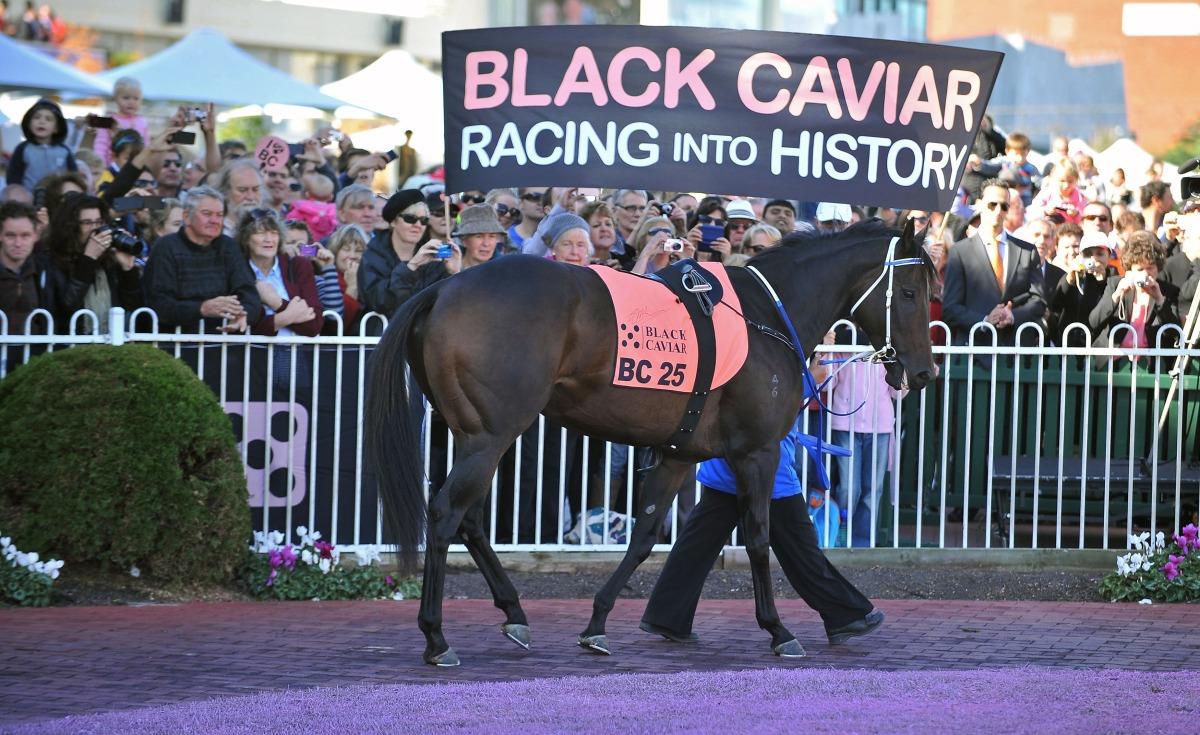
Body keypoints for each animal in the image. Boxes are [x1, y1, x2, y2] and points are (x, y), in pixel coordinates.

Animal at [364, 218, 936, 667]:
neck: (767, 316)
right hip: (493, 434)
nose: (924, 372)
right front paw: (779, 630)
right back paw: (437, 637)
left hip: (468, 433)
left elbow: (645, 536)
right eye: (910, 293)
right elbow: (758, 536)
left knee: (470, 519)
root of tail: (440, 291)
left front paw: (597, 625)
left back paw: (515, 613)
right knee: (445, 514)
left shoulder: (682, 453)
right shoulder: (757, 452)